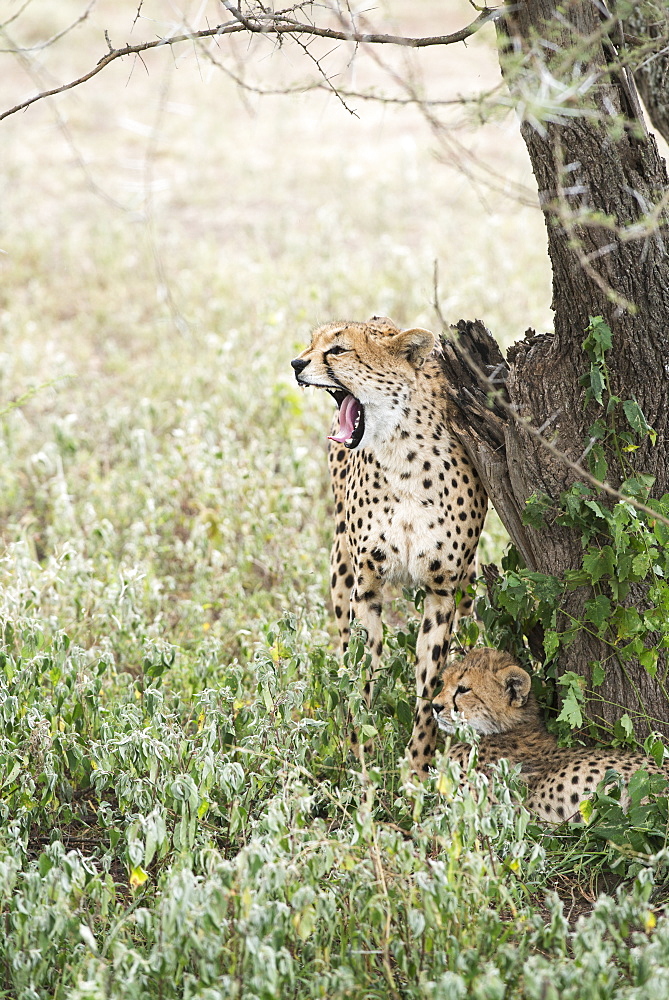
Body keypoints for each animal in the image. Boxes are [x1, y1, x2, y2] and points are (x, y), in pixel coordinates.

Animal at [290, 318, 486, 772]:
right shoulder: (365, 587)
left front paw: (417, 766)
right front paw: (359, 748)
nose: (295, 364)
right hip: (340, 565)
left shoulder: (442, 593)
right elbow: (362, 667)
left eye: (338, 349)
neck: (403, 453)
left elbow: (430, 684)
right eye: (311, 343)